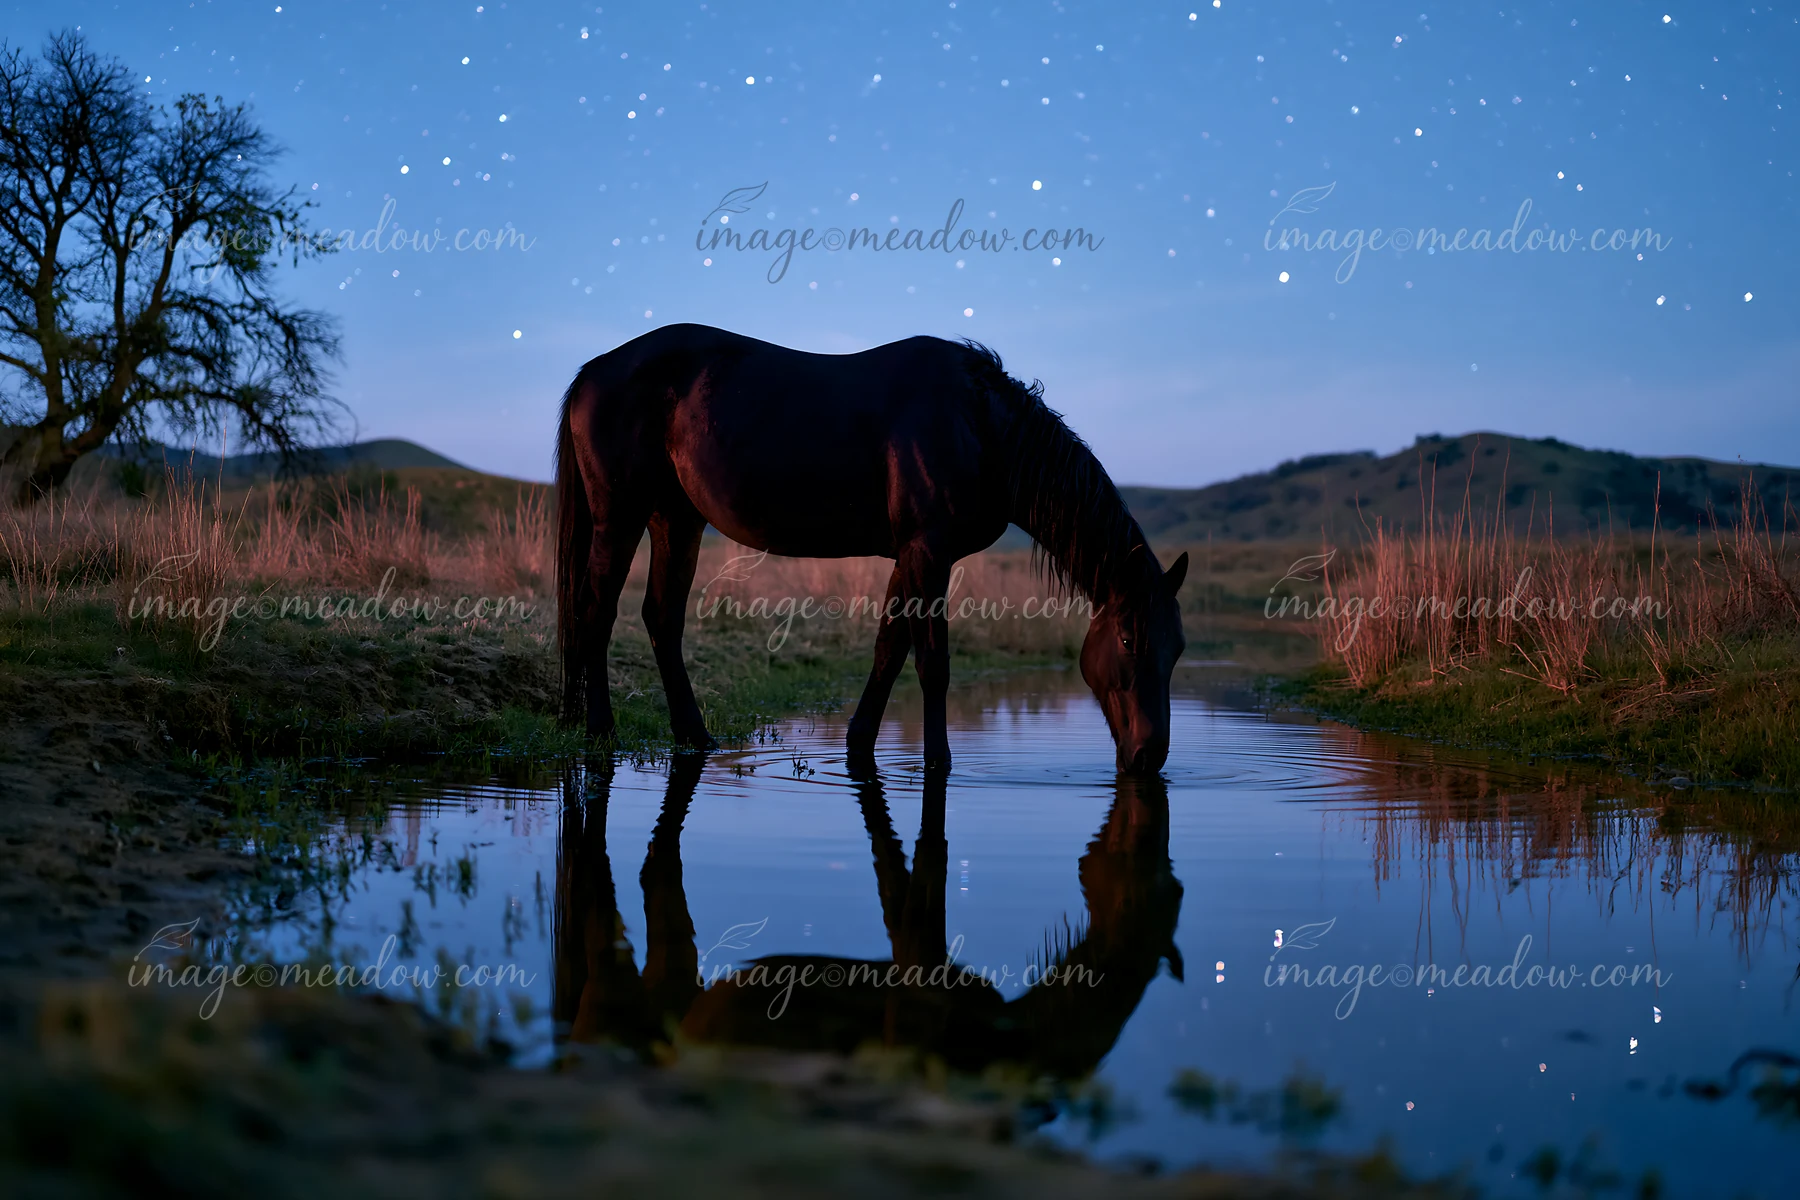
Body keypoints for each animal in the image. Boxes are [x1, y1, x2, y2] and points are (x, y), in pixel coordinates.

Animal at [554, 323, 1187, 772]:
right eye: (1128, 639)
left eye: (1178, 647)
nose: (1149, 756)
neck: (978, 426)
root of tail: (593, 371)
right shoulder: (929, 552)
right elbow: (932, 664)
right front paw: (938, 764)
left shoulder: (909, 556)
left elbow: (889, 650)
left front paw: (859, 747)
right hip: (620, 516)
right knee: (595, 610)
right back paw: (600, 731)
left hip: (675, 518)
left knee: (661, 617)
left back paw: (695, 736)